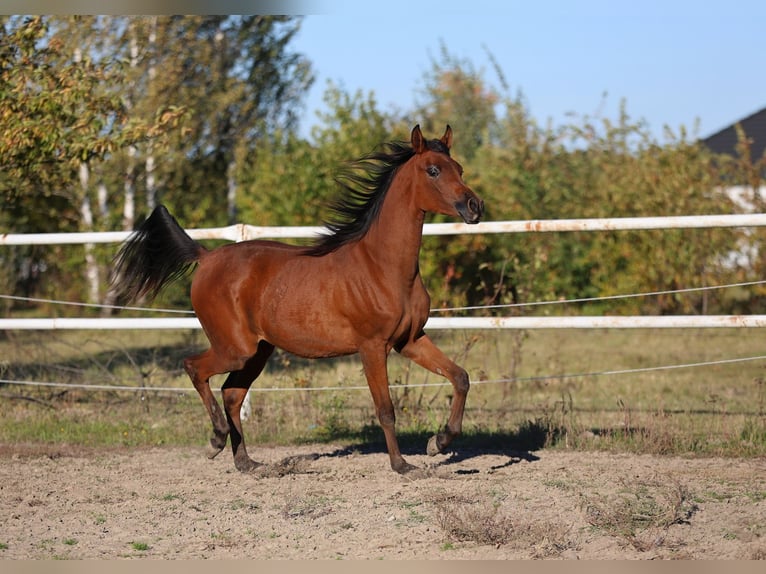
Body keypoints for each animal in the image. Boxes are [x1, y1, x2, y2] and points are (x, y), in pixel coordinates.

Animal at [112, 126, 486, 476]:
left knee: (232, 394)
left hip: (258, 351)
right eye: (433, 170)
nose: (475, 207)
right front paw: (402, 465)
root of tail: (206, 257)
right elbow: (385, 409)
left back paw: (247, 462)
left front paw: (438, 443)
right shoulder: (372, 346)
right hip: (235, 349)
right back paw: (216, 440)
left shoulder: (409, 340)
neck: (382, 266)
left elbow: (460, 377)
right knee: (194, 368)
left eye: (459, 168)